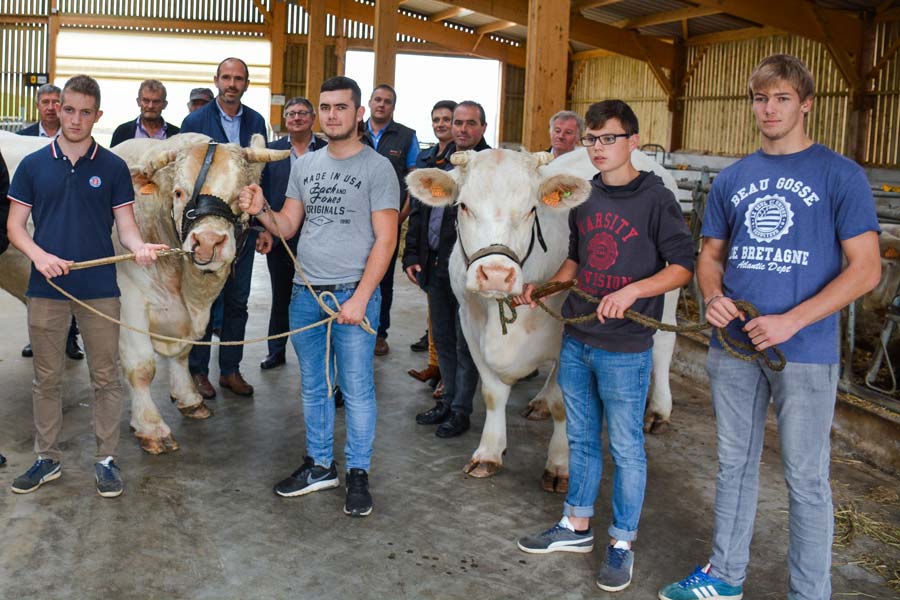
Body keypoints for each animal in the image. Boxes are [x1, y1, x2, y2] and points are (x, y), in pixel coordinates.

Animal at [408, 148, 684, 490]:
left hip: (666, 292)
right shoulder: (470, 323)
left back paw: (658, 411)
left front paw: (560, 465)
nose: (496, 275)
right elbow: (492, 394)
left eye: (531, 209)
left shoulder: (572, 337)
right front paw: (489, 453)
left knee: (663, 343)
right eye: (463, 206)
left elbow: (564, 405)